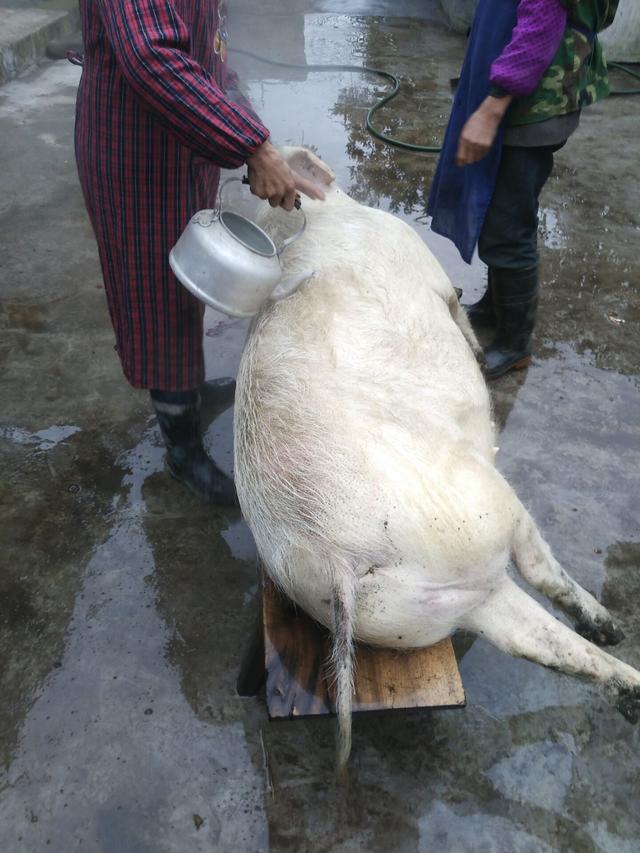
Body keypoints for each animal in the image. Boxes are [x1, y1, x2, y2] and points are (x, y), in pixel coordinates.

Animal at [234, 145, 640, 764]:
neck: (331, 216)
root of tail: (334, 556)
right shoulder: (435, 279)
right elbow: (460, 313)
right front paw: (476, 349)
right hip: (479, 514)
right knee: (540, 571)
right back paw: (615, 634)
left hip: (429, 606)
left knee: (549, 644)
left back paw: (620, 662)